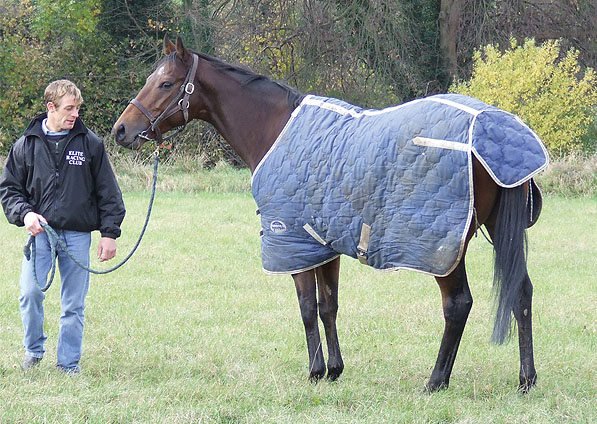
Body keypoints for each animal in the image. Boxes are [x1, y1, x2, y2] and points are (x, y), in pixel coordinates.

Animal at [112, 36, 540, 394]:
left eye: (166, 84)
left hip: (440, 246)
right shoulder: (322, 242)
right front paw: (334, 369)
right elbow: (327, 306)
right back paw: (525, 379)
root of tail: (494, 127)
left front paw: (316, 371)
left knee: (457, 305)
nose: (121, 130)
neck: (276, 129)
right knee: (520, 291)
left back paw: (436, 381)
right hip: (494, 231)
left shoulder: (292, 240)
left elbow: (306, 308)